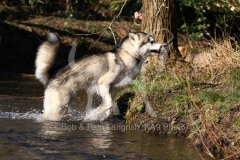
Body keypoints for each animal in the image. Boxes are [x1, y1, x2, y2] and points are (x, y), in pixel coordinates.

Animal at [35, 31, 166, 121]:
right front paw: (91, 116)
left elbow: (110, 107)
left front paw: (101, 117)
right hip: (60, 107)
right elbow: (108, 104)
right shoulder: (103, 83)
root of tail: (52, 75)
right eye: (151, 41)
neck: (128, 55)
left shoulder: (112, 90)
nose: (164, 45)